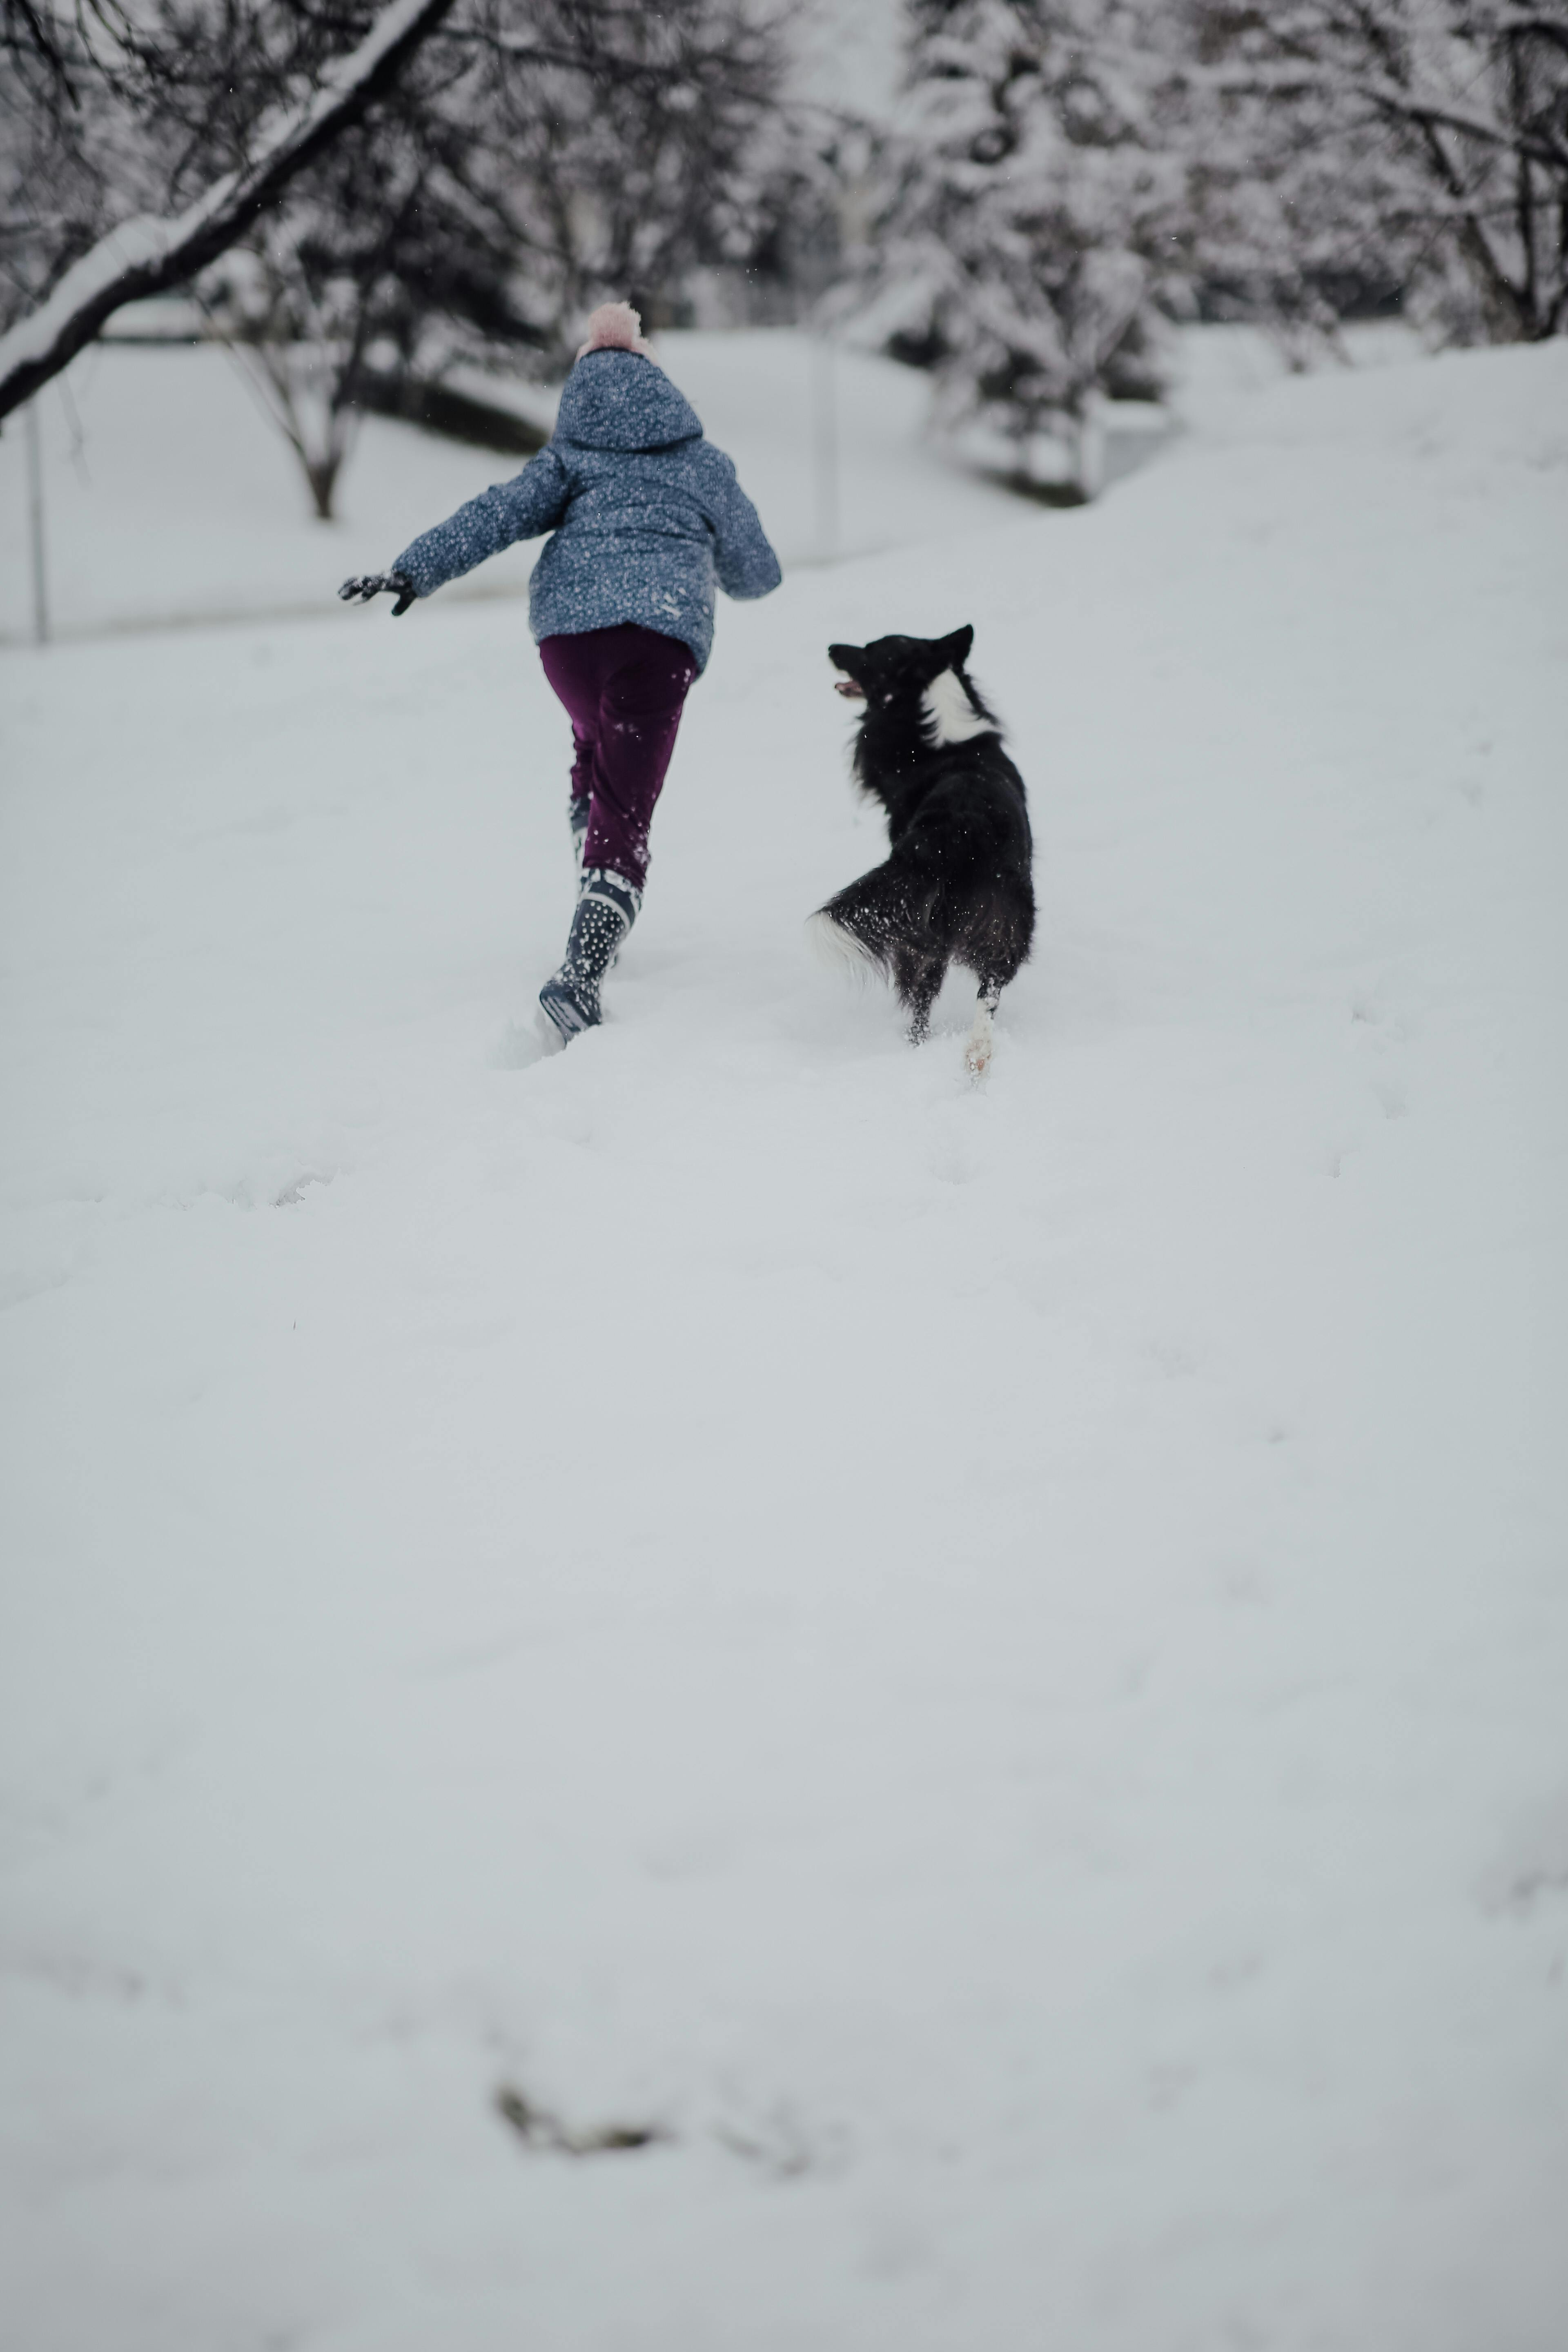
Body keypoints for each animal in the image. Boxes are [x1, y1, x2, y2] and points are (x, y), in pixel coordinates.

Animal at [818, 621, 1034, 1072]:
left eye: (869, 651)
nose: (831, 648)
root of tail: (958, 827)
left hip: (923, 935)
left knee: (920, 1000)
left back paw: (915, 1049)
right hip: (1004, 921)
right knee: (989, 992)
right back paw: (977, 1056)